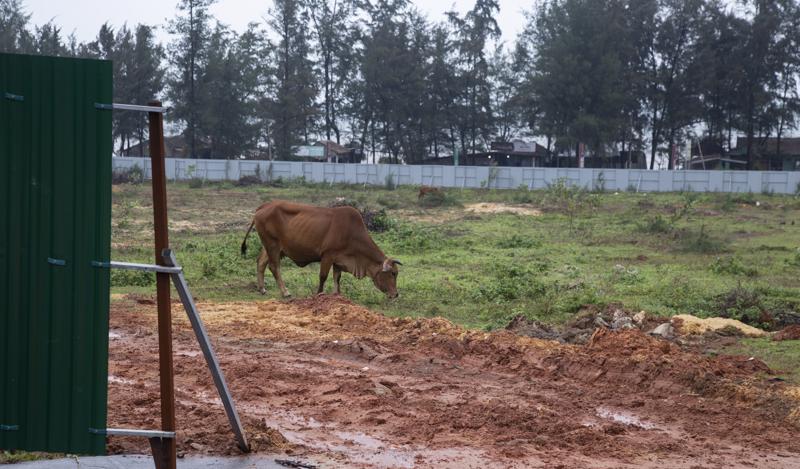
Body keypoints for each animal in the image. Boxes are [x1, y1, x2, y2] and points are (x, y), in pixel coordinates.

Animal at [238, 200, 400, 296]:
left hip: (271, 246)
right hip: (272, 245)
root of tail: (264, 206)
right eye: (393, 273)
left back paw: (262, 289)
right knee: (274, 267)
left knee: (261, 262)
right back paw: (285, 292)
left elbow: (337, 278)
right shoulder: (327, 255)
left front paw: (337, 295)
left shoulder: (338, 260)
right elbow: (323, 276)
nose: (396, 294)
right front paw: (319, 294)